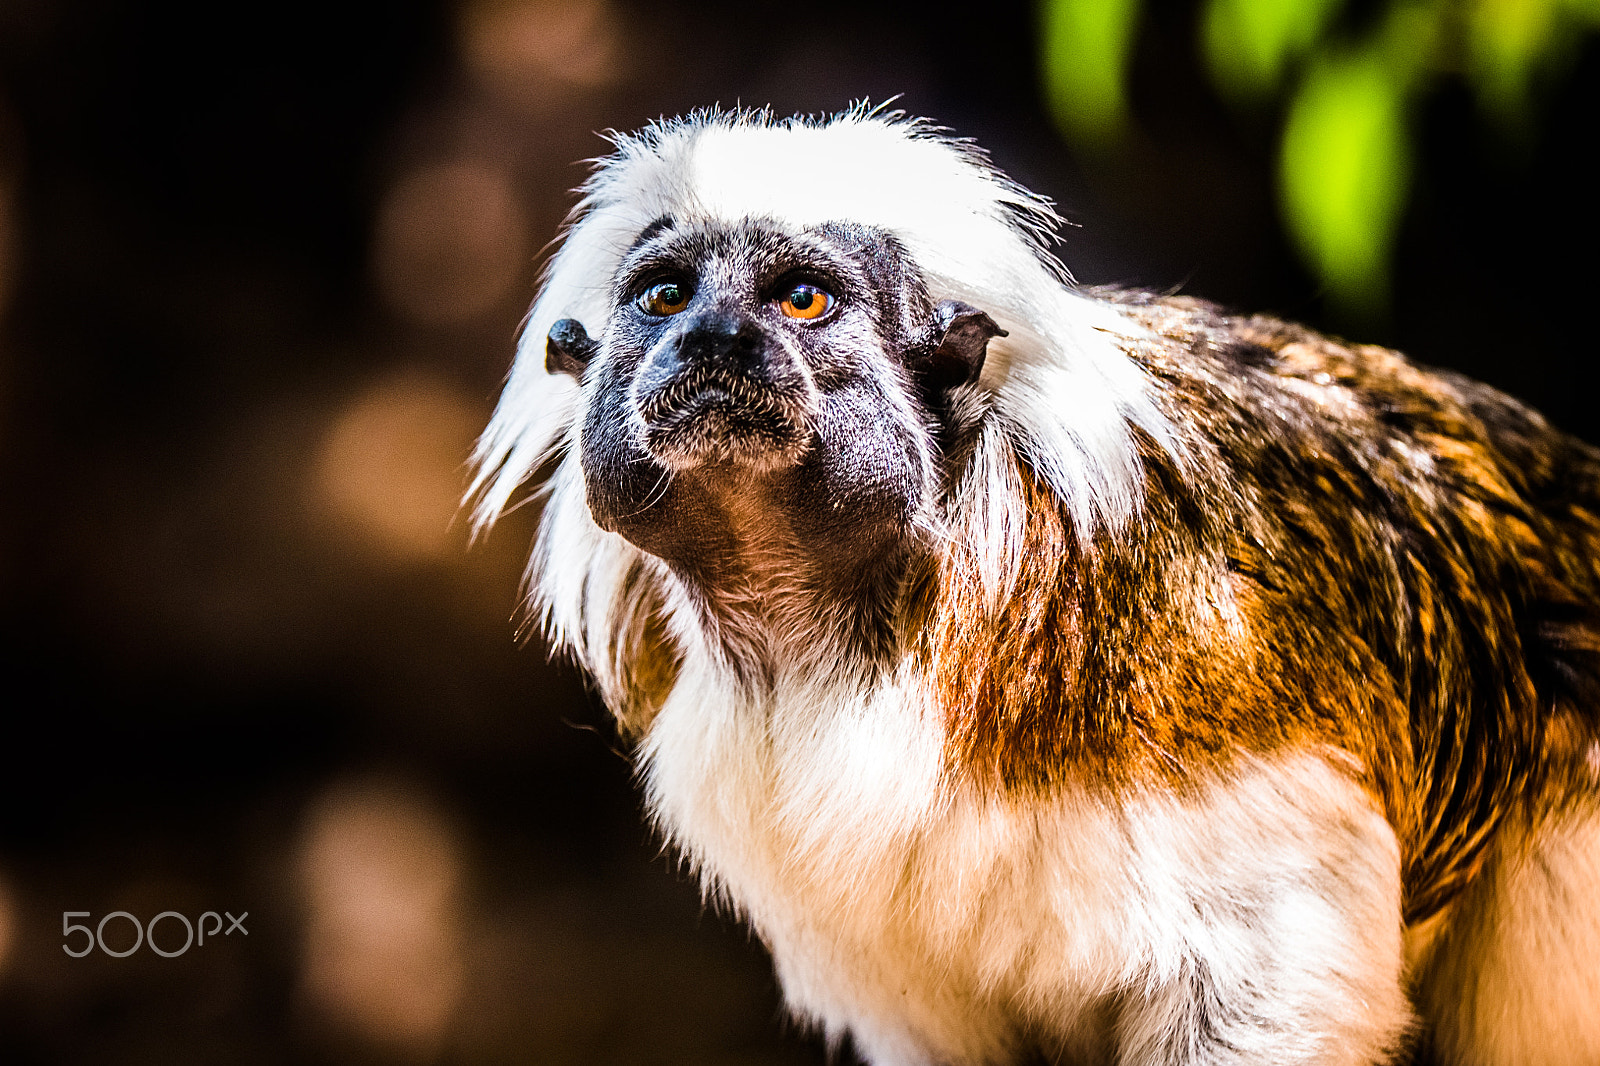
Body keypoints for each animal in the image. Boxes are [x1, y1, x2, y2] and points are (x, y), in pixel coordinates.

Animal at [469, 106, 1600, 1065]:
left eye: (801, 298)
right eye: (664, 296)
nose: (709, 340)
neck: (854, 635)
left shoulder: (1197, 674)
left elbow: (1263, 974)